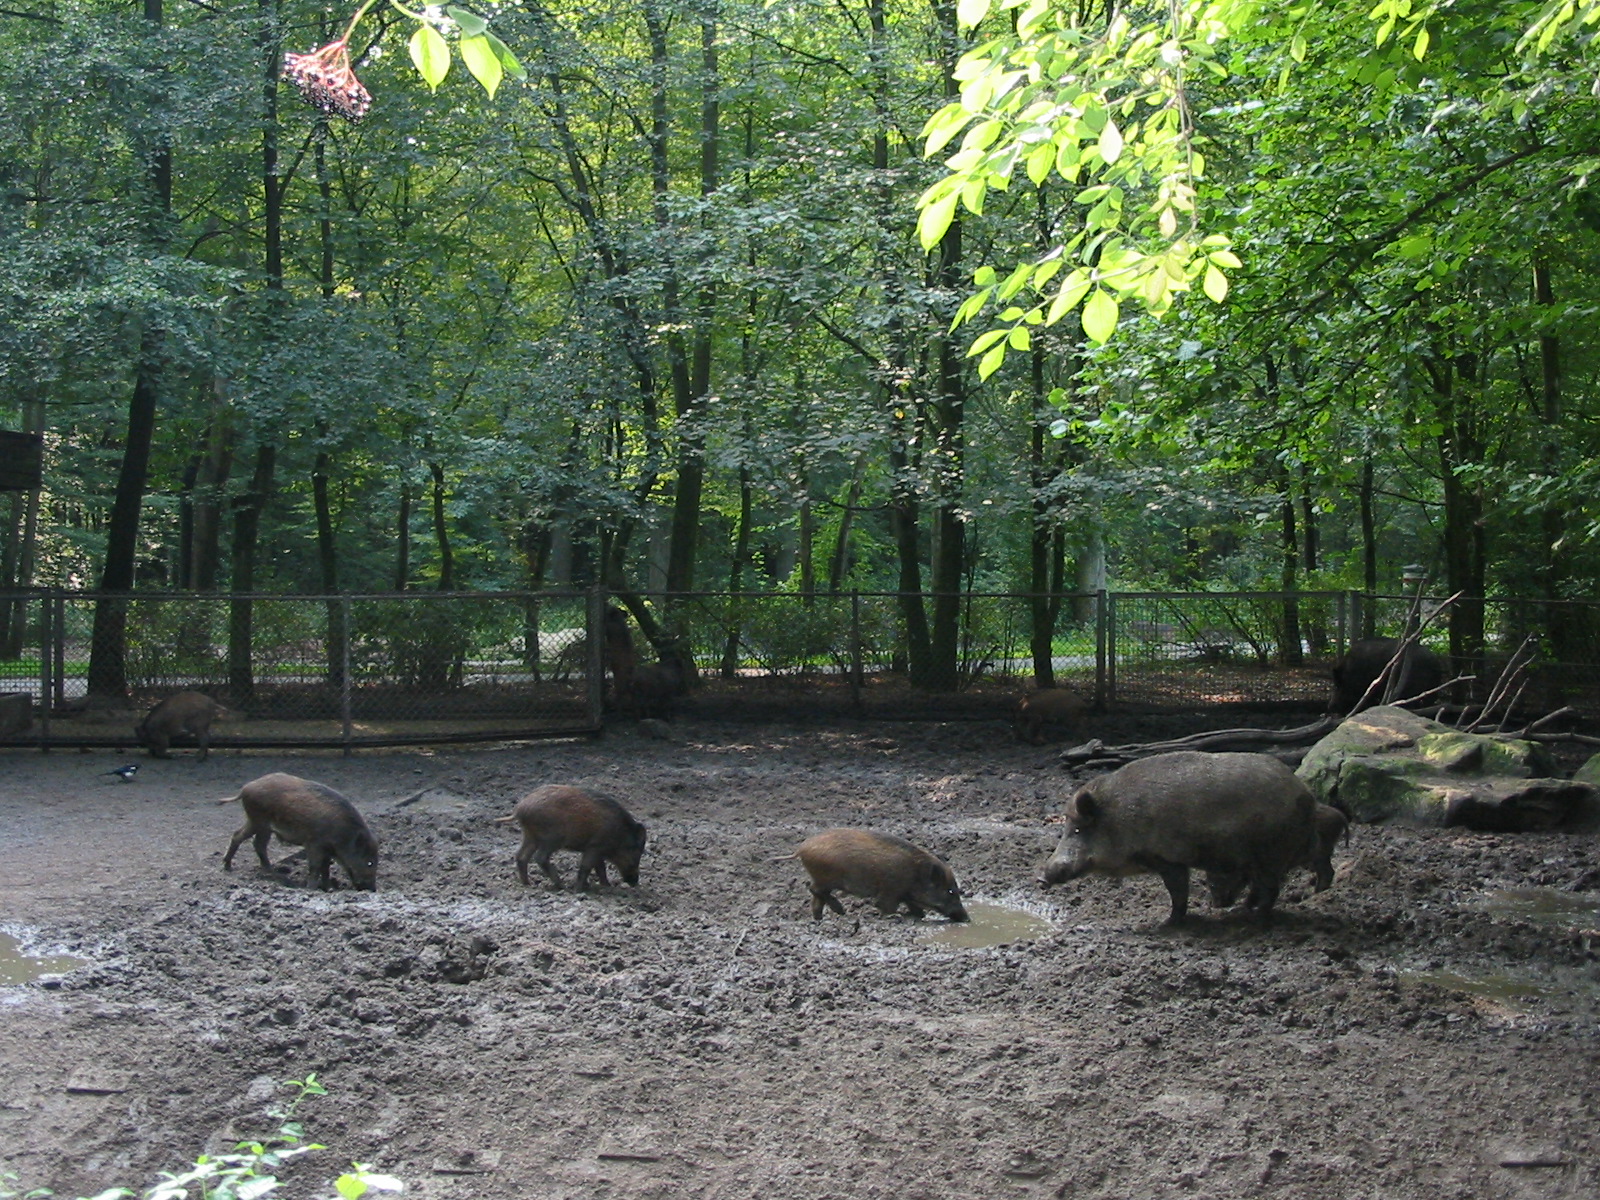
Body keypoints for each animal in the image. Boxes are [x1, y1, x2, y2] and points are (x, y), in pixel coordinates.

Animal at [220, 773, 378, 891]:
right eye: (369, 862)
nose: (372, 889)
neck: (344, 836)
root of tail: (246, 788)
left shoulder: (327, 849)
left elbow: (325, 869)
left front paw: (328, 889)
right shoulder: (314, 844)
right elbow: (315, 867)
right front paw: (311, 889)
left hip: (264, 826)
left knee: (258, 844)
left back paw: (271, 872)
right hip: (257, 820)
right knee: (239, 836)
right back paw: (228, 867)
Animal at [501, 784, 647, 890]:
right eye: (636, 853)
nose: (634, 882)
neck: (620, 835)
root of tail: (519, 810)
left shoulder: (597, 850)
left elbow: (600, 868)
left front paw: (607, 886)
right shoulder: (595, 847)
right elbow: (587, 866)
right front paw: (579, 889)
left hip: (530, 836)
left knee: (521, 856)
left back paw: (528, 884)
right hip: (552, 838)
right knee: (539, 857)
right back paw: (561, 886)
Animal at [787, 828, 969, 922]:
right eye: (950, 891)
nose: (967, 918)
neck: (916, 874)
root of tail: (801, 849)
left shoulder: (906, 895)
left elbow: (917, 910)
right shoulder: (891, 891)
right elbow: (884, 905)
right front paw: (896, 916)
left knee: (816, 896)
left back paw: (821, 917)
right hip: (825, 878)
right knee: (813, 889)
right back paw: (840, 911)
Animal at [1037, 751, 1317, 924]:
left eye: (1077, 830)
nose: (1041, 877)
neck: (1119, 818)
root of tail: (1306, 793)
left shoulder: (1167, 857)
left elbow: (1178, 891)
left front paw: (1167, 922)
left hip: (1270, 852)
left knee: (1271, 888)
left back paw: (1256, 917)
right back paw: (1245, 910)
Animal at [1206, 802, 1349, 909]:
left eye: (1213, 883)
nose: (1216, 905)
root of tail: (1341, 816)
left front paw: (1246, 906)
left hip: (1321, 853)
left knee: (1327, 872)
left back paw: (1314, 894)